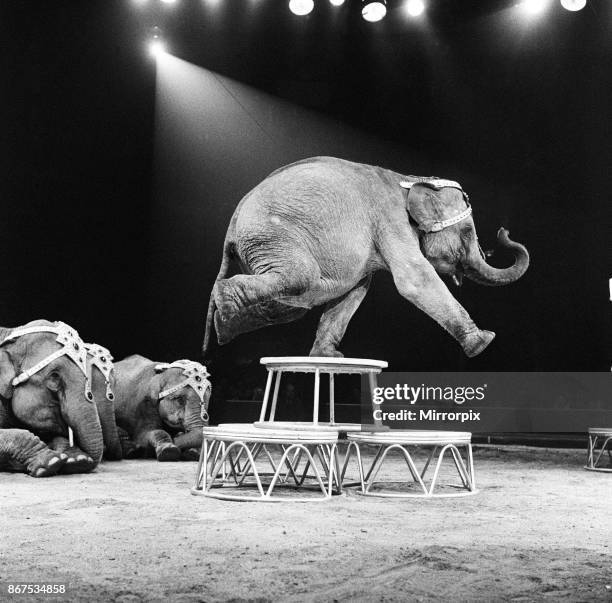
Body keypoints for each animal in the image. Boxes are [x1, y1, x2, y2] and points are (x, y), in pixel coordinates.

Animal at [203, 158, 528, 360]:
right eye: (468, 232)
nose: (504, 232)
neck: (410, 179)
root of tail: (233, 222)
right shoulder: (391, 219)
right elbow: (415, 279)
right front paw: (485, 341)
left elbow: (355, 291)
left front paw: (329, 357)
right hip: (272, 237)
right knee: (300, 277)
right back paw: (225, 305)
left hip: (265, 247)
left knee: (290, 305)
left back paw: (224, 325)